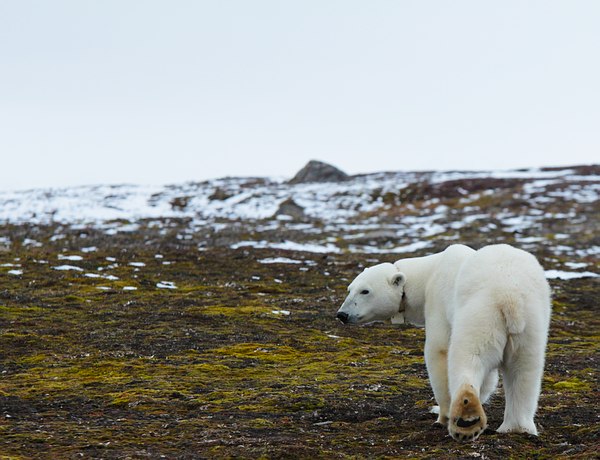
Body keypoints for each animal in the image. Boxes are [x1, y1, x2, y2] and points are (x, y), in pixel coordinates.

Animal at [336, 244, 552, 442]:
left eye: (365, 291)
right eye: (349, 289)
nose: (342, 314)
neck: (429, 272)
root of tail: (509, 298)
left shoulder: (438, 302)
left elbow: (438, 351)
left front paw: (441, 412)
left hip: (481, 312)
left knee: (468, 356)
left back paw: (466, 416)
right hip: (532, 319)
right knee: (524, 370)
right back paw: (516, 427)